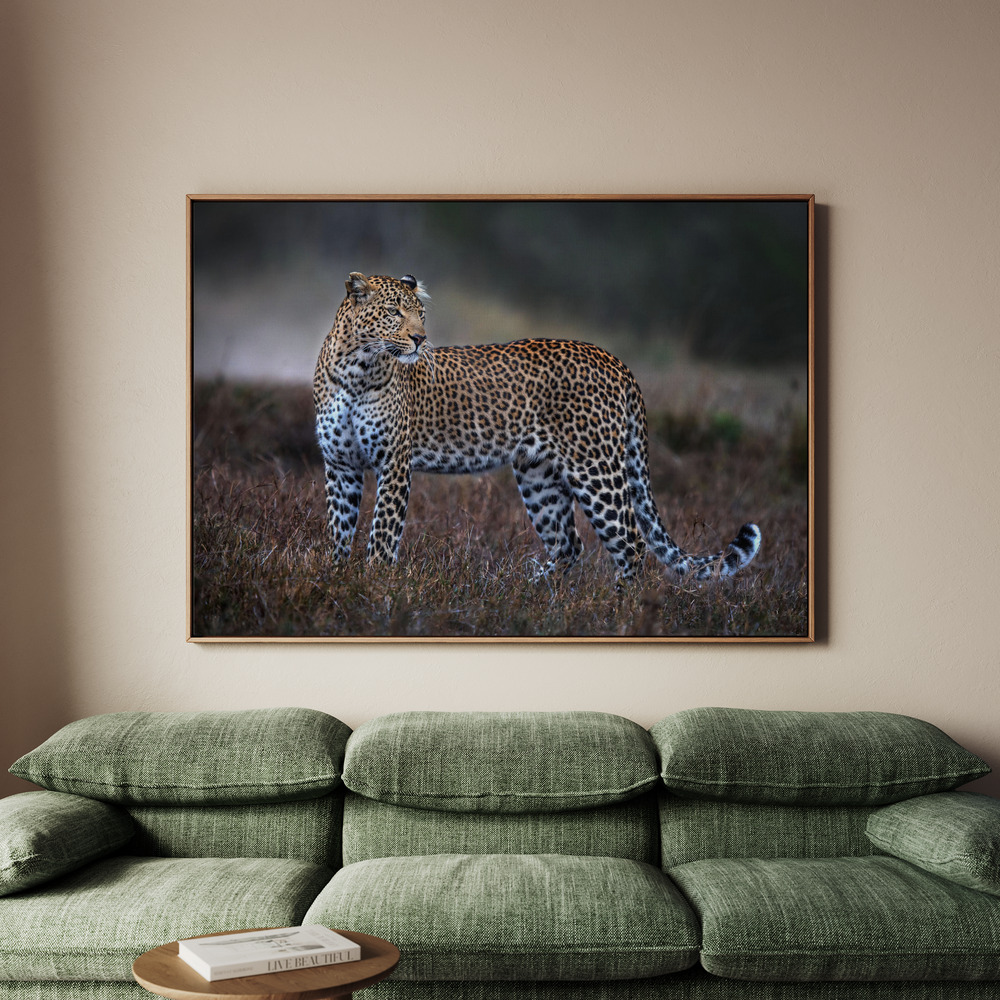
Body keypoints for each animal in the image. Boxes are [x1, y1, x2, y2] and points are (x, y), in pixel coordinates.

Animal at [313, 272, 761, 581]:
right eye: (394, 313)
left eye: (419, 314)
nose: (420, 339)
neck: (357, 370)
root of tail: (615, 360)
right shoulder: (340, 465)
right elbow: (339, 528)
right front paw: (336, 580)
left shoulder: (393, 462)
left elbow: (382, 533)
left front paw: (375, 584)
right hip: (538, 474)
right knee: (569, 544)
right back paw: (525, 589)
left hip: (596, 469)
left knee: (631, 544)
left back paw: (618, 611)